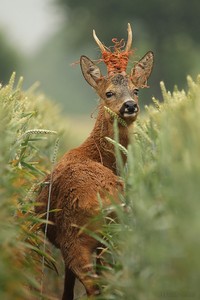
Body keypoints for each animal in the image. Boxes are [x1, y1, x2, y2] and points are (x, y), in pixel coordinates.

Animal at [35, 24, 155, 300]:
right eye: (109, 92)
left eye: (136, 90)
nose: (130, 105)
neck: (96, 155)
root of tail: (106, 204)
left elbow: (68, 286)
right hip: (110, 238)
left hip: (76, 238)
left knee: (95, 285)